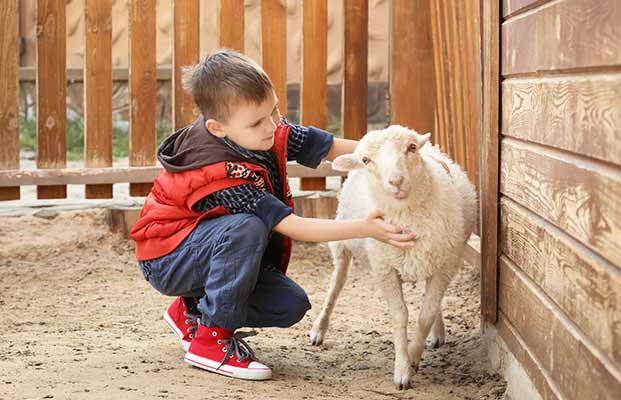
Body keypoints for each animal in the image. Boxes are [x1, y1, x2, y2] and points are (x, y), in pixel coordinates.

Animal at [308, 124, 478, 388]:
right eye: (366, 160)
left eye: (412, 147)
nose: (396, 181)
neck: (407, 216)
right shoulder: (385, 268)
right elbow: (400, 316)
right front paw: (402, 370)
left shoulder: (444, 265)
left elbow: (426, 314)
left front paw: (415, 357)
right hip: (342, 242)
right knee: (335, 286)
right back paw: (319, 329)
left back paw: (437, 333)